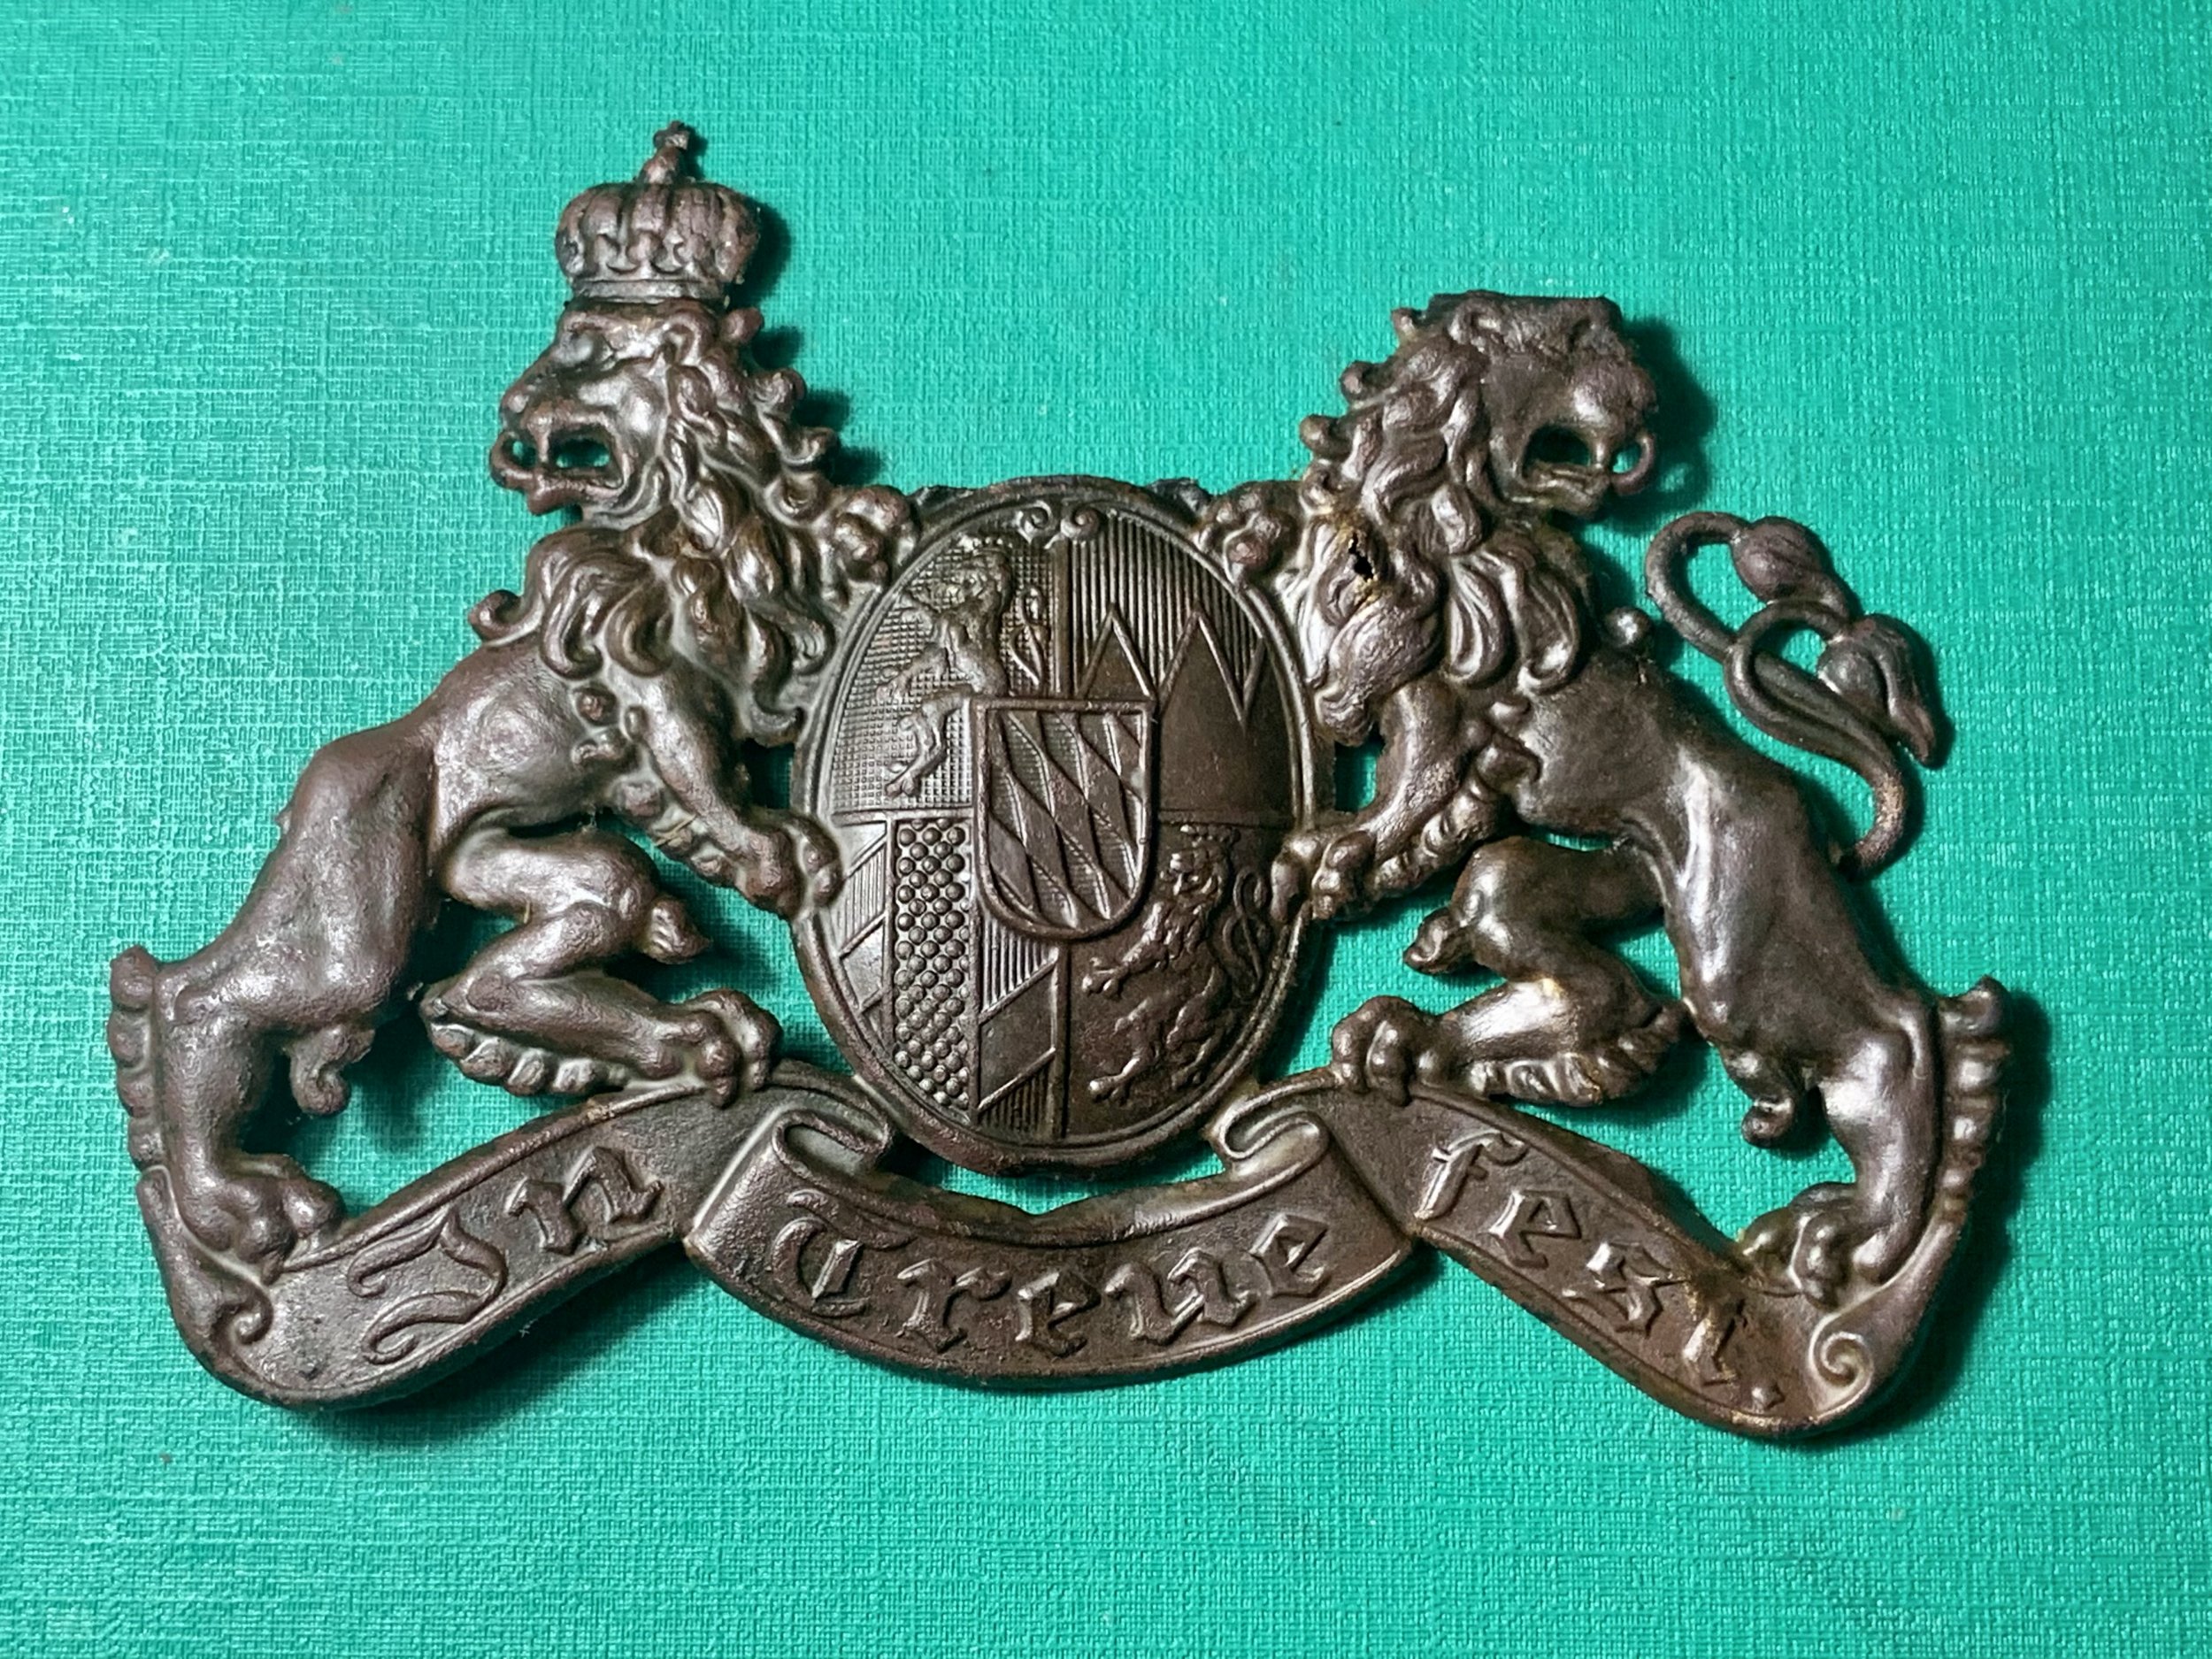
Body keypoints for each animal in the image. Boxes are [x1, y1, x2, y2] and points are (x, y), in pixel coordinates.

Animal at [108, 294, 907, 1276]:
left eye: (586, 352)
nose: (513, 415)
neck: (688, 506)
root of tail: (317, 783)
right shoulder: (642, 661)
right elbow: (700, 769)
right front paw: (773, 849)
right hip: (358, 915)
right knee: (200, 997)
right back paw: (234, 1206)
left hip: (491, 860)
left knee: (518, 958)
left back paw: (677, 1034)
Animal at [1238, 291, 2006, 1298]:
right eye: (1571, 341)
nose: (1644, 395)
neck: (1422, 503)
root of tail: (1800, 809)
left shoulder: (1440, 697)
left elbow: (1410, 792)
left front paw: (1332, 855)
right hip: (1615, 878)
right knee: (1579, 970)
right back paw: (1415, 1039)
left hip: (1735, 940)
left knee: (1895, 1036)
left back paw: (1859, 1236)